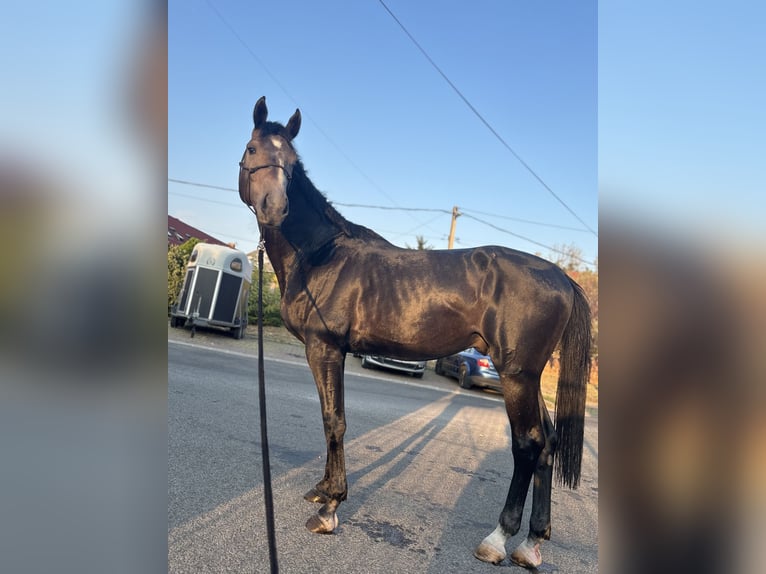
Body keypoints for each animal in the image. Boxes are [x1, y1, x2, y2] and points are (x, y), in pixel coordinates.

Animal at [238, 96, 591, 568]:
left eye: (292, 164)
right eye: (254, 149)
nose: (276, 208)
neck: (320, 255)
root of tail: (562, 277)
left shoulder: (324, 349)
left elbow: (334, 420)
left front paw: (330, 506)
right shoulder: (337, 352)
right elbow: (331, 419)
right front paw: (322, 490)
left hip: (516, 376)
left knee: (528, 444)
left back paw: (499, 539)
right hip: (529, 378)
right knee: (549, 443)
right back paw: (532, 543)